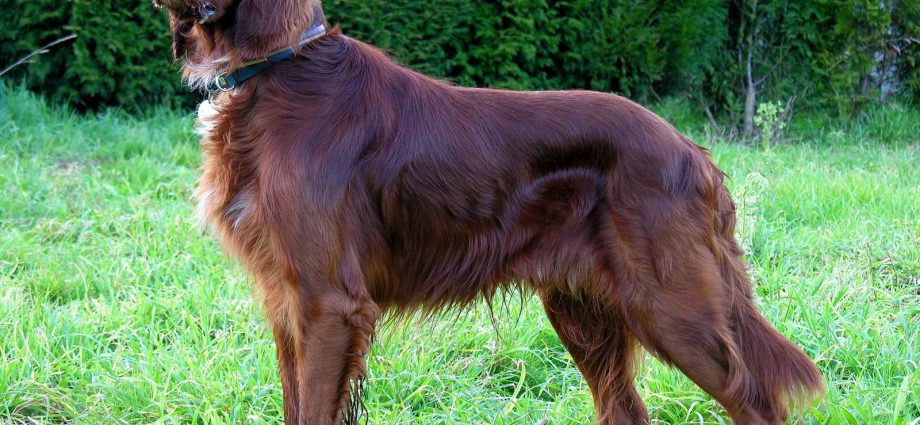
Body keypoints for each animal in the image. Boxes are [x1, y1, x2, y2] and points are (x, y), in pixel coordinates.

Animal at [155, 1, 824, 422]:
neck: (280, 67)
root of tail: (692, 152)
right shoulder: (287, 303)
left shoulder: (328, 304)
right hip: (584, 311)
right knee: (625, 409)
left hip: (669, 304)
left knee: (756, 400)